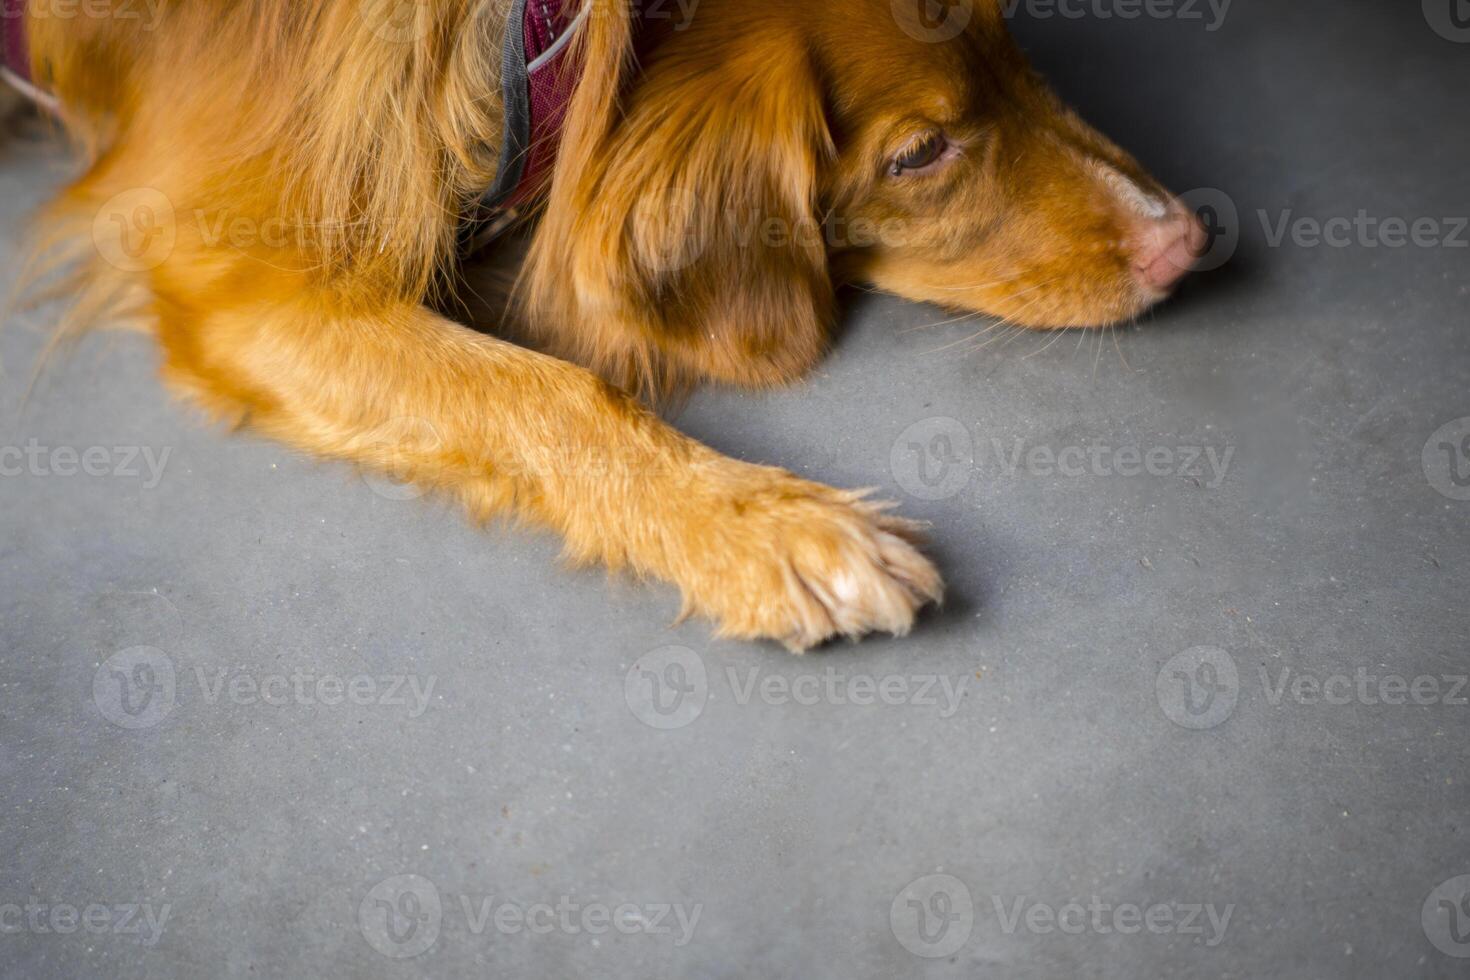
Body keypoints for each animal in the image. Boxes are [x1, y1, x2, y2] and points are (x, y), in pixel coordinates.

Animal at [5, 0, 1205, 652]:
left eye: (1013, 42)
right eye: (919, 154)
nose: (1186, 238)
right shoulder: (235, 275)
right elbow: (544, 386)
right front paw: (766, 526)